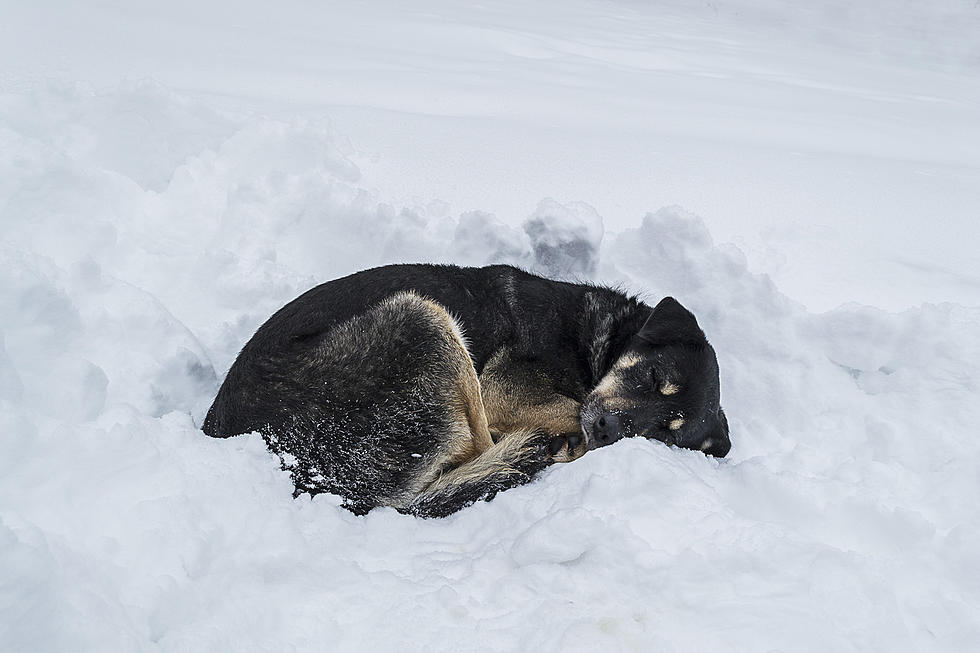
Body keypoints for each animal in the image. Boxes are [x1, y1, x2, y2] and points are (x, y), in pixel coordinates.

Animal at [205, 262, 728, 516]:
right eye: (653, 379)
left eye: (663, 432)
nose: (606, 429)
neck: (596, 344)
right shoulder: (500, 387)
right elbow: (567, 406)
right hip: (425, 320)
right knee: (478, 446)